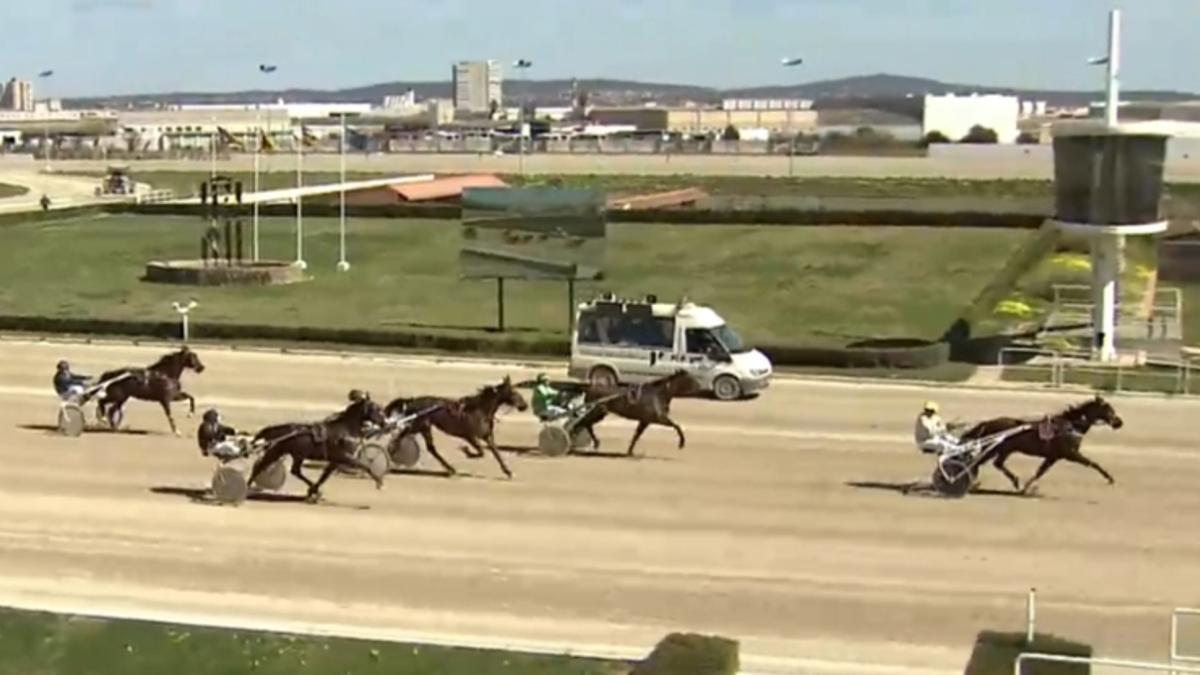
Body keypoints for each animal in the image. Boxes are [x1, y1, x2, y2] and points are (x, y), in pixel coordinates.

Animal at [247, 393, 388, 499]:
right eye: (377, 409)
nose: (385, 423)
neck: (346, 429)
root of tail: (274, 429)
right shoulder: (344, 456)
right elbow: (365, 465)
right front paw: (379, 481)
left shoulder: (335, 460)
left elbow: (324, 476)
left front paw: (314, 491)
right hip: (276, 451)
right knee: (260, 467)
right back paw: (247, 488)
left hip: (297, 454)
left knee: (295, 471)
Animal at [386, 372, 528, 478]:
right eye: (514, 392)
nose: (525, 405)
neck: (480, 410)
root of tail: (412, 400)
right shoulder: (470, 436)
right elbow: (481, 452)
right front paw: (466, 451)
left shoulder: (487, 436)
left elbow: (496, 453)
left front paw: (508, 471)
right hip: (419, 425)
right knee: (402, 435)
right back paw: (391, 451)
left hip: (424, 427)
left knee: (431, 448)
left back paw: (450, 469)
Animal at [955, 391, 1123, 492]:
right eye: (1109, 410)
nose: (1119, 423)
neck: (1071, 425)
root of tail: (988, 422)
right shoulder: (1070, 454)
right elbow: (1093, 463)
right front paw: (1109, 478)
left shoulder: (1053, 457)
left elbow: (1040, 472)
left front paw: (1026, 487)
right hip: (994, 448)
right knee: (978, 463)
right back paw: (971, 482)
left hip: (1004, 449)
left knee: (996, 464)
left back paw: (1014, 481)